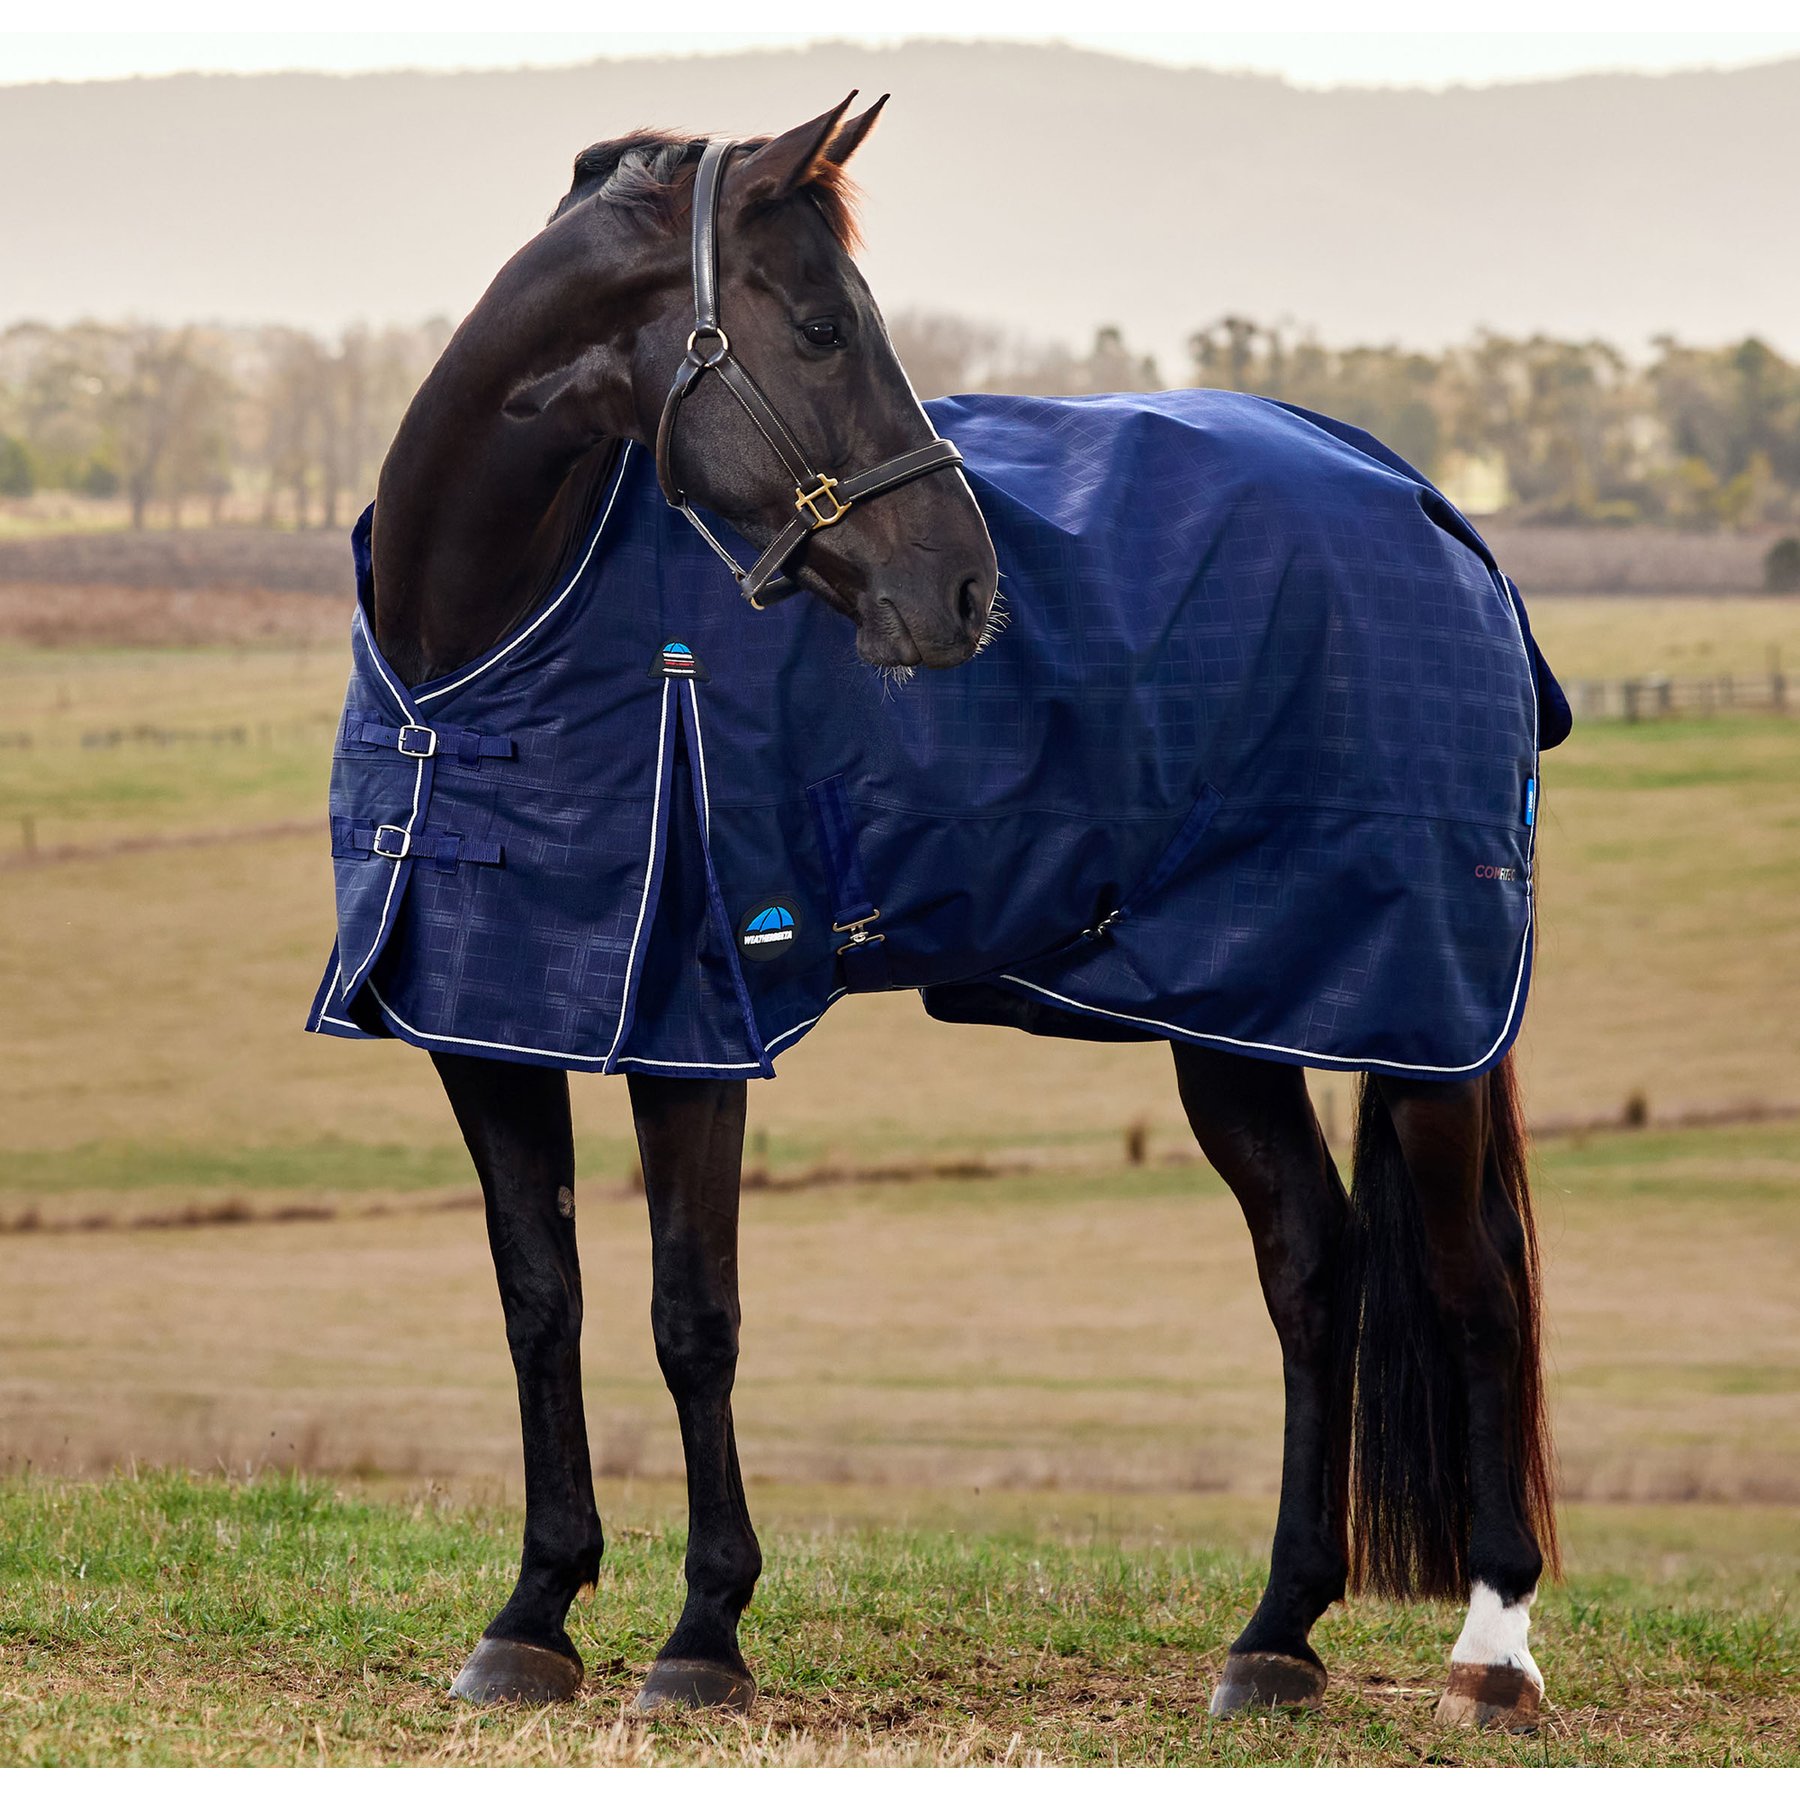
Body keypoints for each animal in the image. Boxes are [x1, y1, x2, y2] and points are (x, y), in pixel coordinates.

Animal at [337, 95, 1559, 1732]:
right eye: (819, 327)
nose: (968, 593)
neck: (479, 649)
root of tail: (1440, 520)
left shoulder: (693, 1034)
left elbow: (691, 1316)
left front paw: (702, 1635)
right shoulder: (488, 1023)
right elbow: (545, 1299)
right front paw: (534, 1614)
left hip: (1417, 1009)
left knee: (1472, 1283)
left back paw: (1493, 1652)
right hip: (1232, 1012)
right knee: (1315, 1268)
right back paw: (1276, 1636)